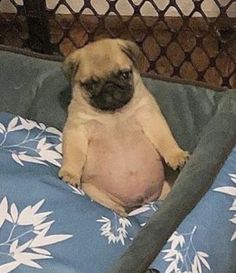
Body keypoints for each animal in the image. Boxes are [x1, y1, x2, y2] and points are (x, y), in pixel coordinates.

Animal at [60, 38, 189, 217]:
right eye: (90, 85)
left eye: (125, 74)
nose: (109, 85)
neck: (114, 114)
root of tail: (140, 203)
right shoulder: (77, 130)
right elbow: (74, 153)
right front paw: (70, 173)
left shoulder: (150, 117)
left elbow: (165, 139)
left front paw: (176, 155)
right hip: (95, 192)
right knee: (116, 208)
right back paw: (121, 214)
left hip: (165, 192)